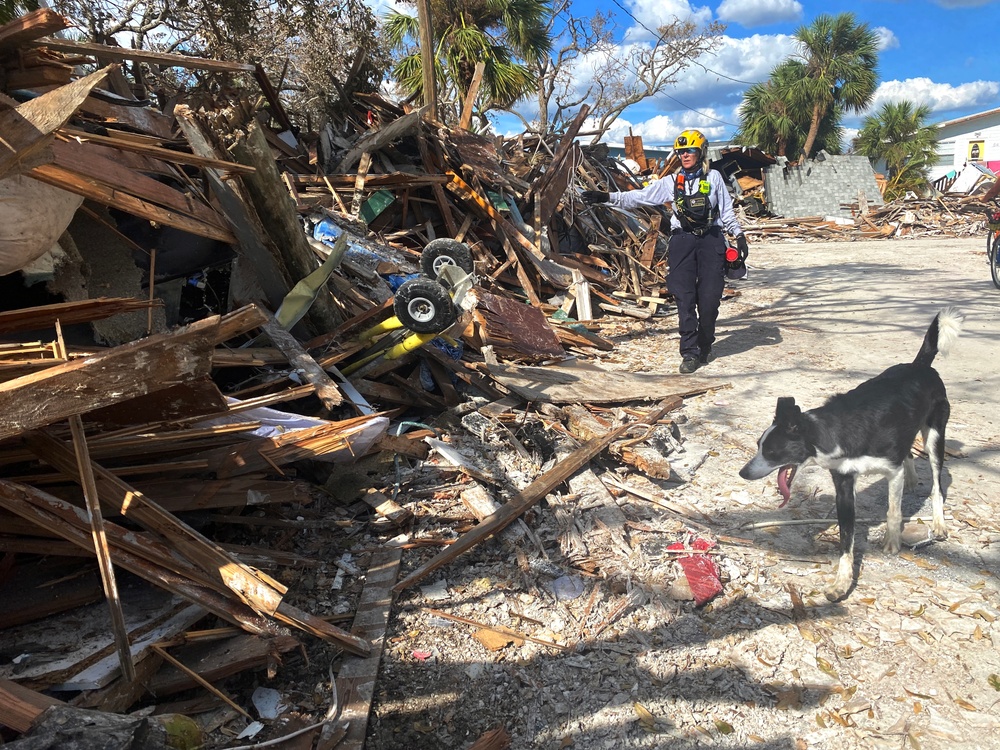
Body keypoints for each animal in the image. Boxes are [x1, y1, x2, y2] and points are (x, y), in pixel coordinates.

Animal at [744, 308, 960, 604]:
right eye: (758, 445)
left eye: (771, 452)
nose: (743, 473)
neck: (833, 431)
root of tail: (920, 366)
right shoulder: (844, 483)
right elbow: (846, 540)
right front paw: (842, 583)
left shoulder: (891, 470)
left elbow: (893, 510)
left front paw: (892, 541)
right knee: (909, 454)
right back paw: (913, 479)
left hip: (935, 437)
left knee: (937, 484)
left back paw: (938, 522)